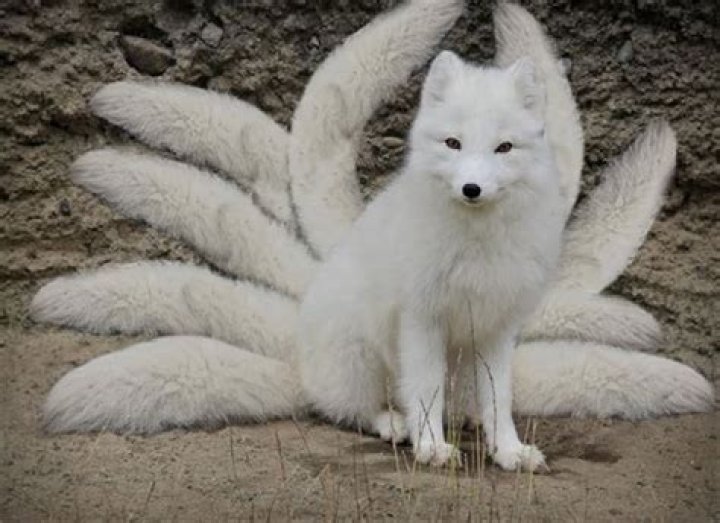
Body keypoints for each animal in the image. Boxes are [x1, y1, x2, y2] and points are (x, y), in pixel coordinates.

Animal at [30, 1, 713, 463]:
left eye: (503, 148)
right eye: (453, 144)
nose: (471, 188)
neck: (476, 246)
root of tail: (300, 357)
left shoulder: (497, 327)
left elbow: (500, 400)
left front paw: (508, 452)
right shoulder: (422, 320)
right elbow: (424, 387)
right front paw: (432, 448)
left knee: (454, 402)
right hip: (359, 351)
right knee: (349, 409)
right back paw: (397, 426)